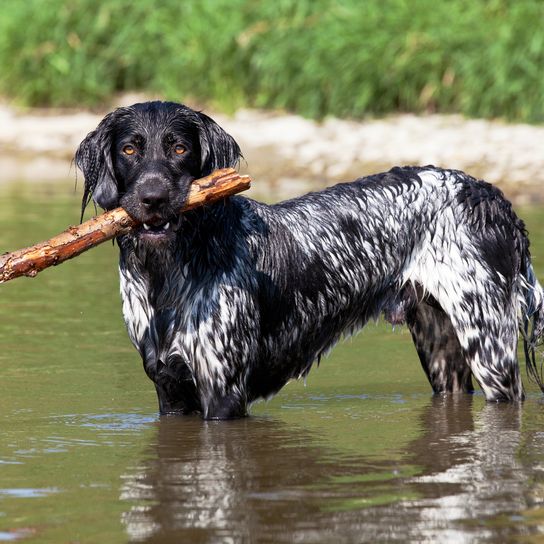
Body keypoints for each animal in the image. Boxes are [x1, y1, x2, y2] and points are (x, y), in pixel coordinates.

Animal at [73, 100, 544, 418]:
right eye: (130, 150)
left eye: (179, 148)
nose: (153, 199)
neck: (168, 273)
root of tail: (494, 198)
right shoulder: (170, 392)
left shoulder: (223, 391)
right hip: (442, 351)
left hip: (490, 349)